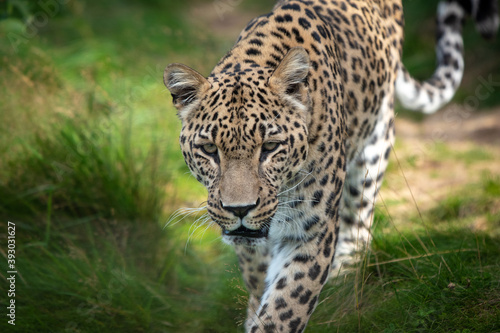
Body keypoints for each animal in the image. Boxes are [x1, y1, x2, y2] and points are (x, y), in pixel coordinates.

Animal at [163, 0, 496, 330]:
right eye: (209, 149)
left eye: (269, 147)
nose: (239, 209)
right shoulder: (252, 245)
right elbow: (258, 280)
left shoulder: (312, 231)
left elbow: (284, 308)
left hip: (375, 144)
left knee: (359, 219)